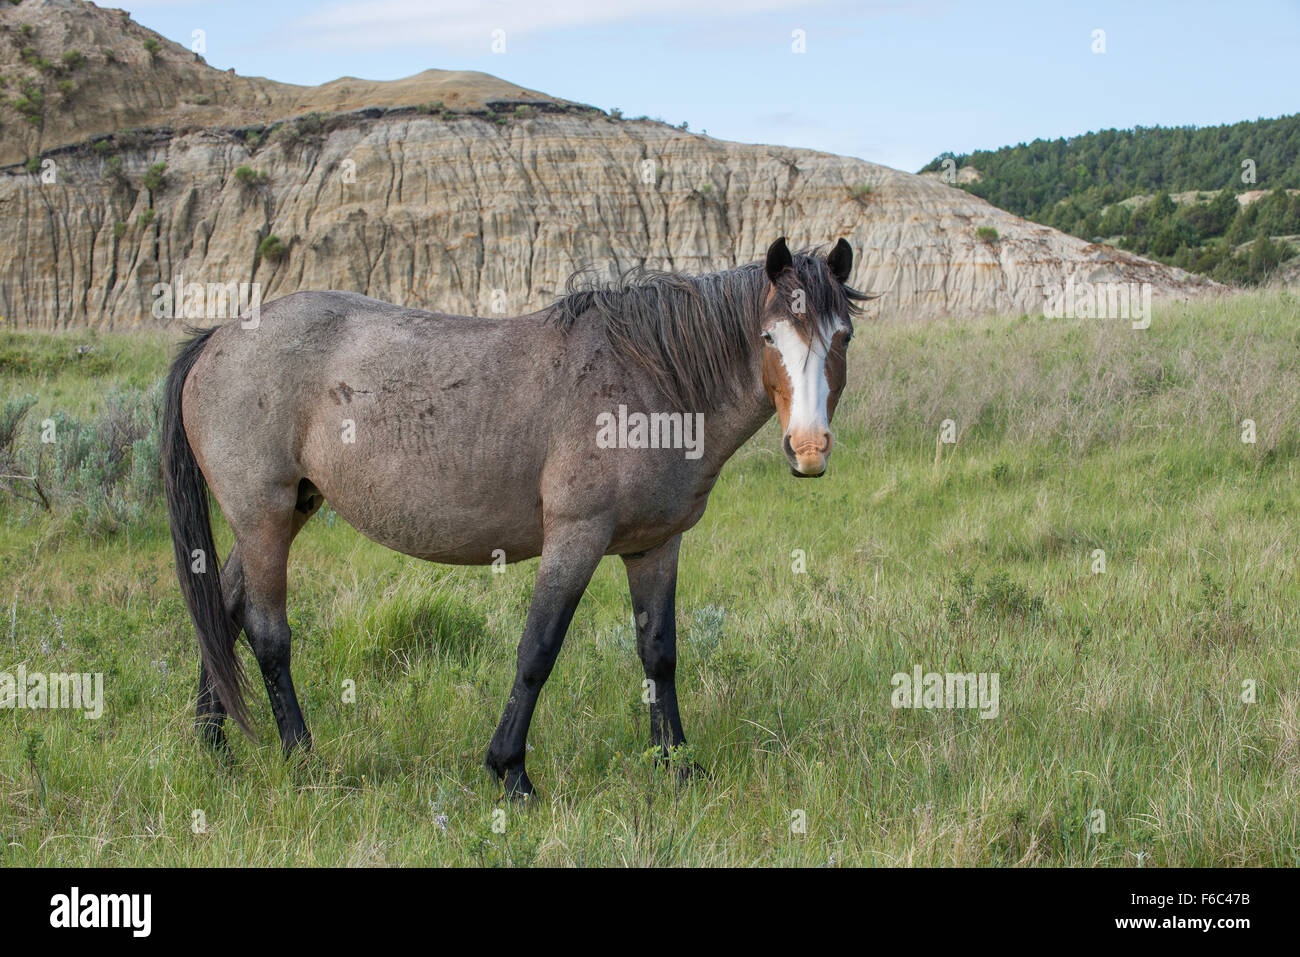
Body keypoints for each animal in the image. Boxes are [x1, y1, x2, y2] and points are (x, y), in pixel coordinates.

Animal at [165, 235, 873, 795]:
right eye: (769, 336)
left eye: (842, 336)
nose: (809, 448)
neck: (652, 383)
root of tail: (217, 338)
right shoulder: (576, 539)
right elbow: (537, 651)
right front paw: (509, 771)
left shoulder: (654, 546)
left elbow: (659, 654)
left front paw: (675, 765)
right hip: (263, 516)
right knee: (265, 632)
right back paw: (302, 757)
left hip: (284, 510)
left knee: (222, 610)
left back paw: (213, 745)